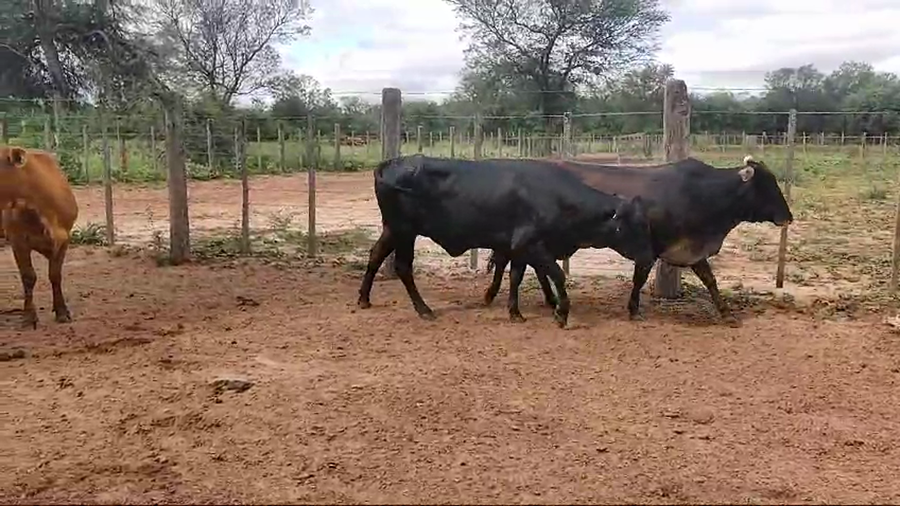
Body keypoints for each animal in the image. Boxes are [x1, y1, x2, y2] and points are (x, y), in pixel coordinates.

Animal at [0, 146, 79, 329]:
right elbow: (28, 277)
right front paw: (29, 317)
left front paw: (62, 312)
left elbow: (55, 275)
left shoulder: (64, 239)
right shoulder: (18, 241)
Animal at [356, 154, 655, 328]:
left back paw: (364, 299)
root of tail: (391, 163)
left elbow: (516, 277)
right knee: (403, 267)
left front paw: (515, 312)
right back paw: (424, 309)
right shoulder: (531, 245)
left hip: (392, 230)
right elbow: (557, 275)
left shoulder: (518, 249)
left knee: (375, 255)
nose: (650, 255)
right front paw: (561, 312)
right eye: (634, 226)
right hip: (405, 231)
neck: (556, 197)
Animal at [482, 155, 793, 326]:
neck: (704, 194)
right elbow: (639, 279)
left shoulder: (692, 250)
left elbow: (710, 281)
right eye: (767, 184)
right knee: (514, 264)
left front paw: (726, 314)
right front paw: (633, 310)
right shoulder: (650, 249)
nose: (788, 216)